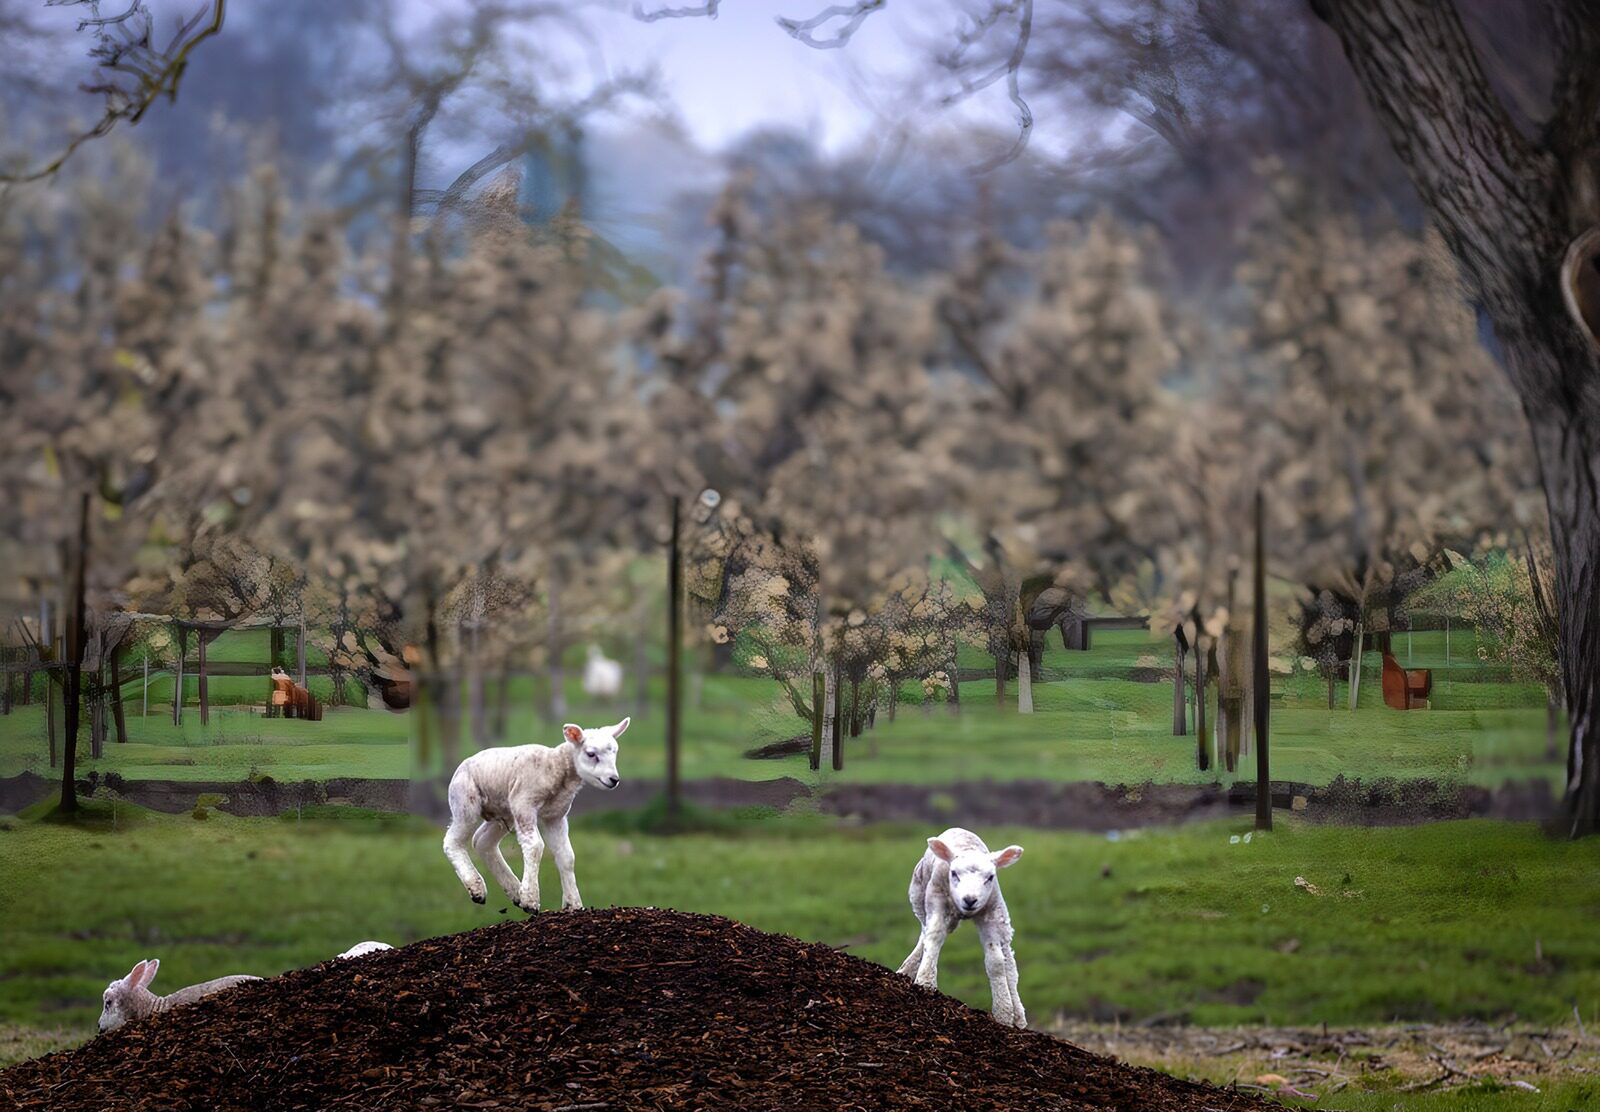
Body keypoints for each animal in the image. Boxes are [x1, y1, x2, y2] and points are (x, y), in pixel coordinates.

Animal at [442, 718, 627, 912]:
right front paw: (530, 900)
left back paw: (514, 890)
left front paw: (574, 904)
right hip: (466, 802)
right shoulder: (524, 804)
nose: (614, 779)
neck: (554, 767)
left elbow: (566, 856)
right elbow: (535, 846)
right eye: (591, 754)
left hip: (504, 810)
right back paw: (477, 888)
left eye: (615, 752)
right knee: (453, 841)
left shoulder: (555, 817)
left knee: (482, 841)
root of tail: (460, 768)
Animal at [895, 827, 1027, 1028]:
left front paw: (1003, 1013)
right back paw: (906, 970)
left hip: (1001, 918)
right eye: (954, 873)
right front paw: (926, 983)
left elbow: (996, 961)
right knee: (925, 932)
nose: (970, 900)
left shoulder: (991, 914)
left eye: (990, 877)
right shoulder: (936, 899)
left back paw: (1018, 1015)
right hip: (918, 896)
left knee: (1009, 962)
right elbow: (934, 937)